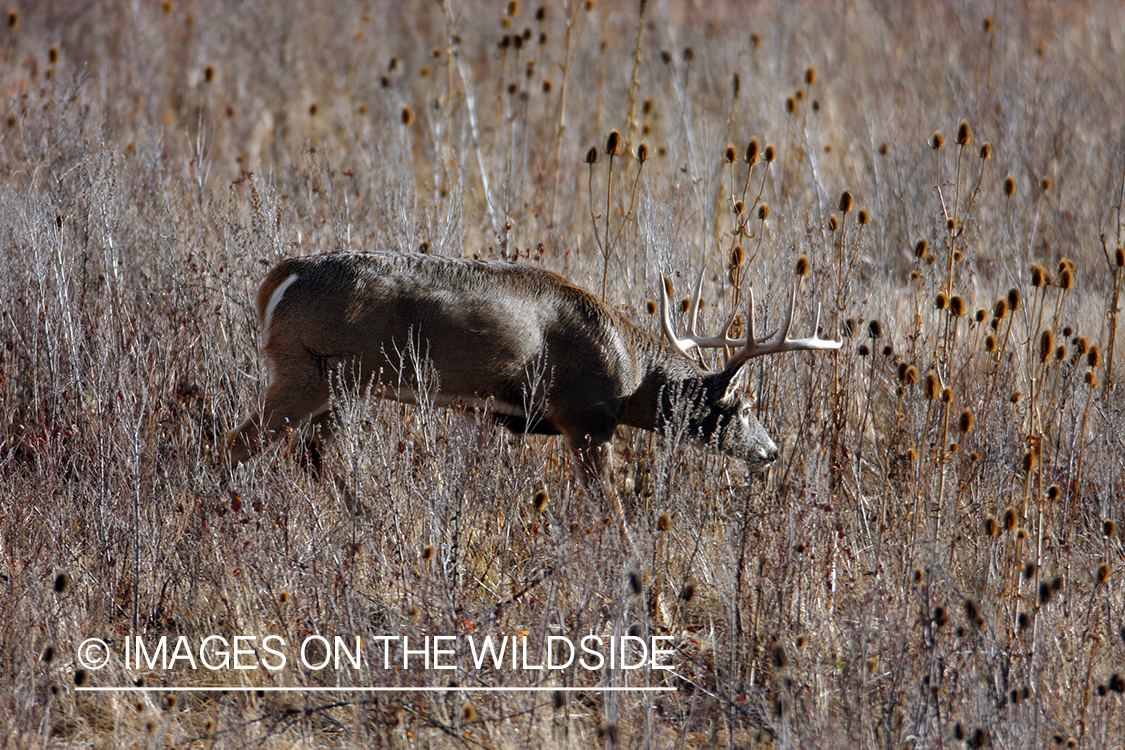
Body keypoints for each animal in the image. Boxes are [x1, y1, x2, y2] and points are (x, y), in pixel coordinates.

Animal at [223, 251, 841, 550]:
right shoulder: (586, 419)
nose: (772, 451)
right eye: (743, 407)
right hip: (304, 371)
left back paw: (371, 526)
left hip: (336, 385)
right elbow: (613, 514)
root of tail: (278, 279)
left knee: (313, 458)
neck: (629, 369)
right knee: (232, 444)